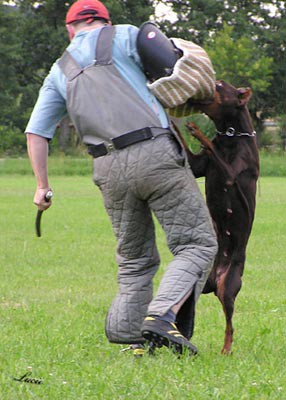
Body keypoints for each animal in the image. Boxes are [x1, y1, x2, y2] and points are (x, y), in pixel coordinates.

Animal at [181, 79, 260, 354]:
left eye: (218, 84)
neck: (232, 135)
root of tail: (215, 279)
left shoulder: (231, 176)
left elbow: (211, 145)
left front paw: (197, 130)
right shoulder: (198, 166)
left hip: (229, 285)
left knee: (230, 325)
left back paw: (226, 349)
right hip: (199, 283)